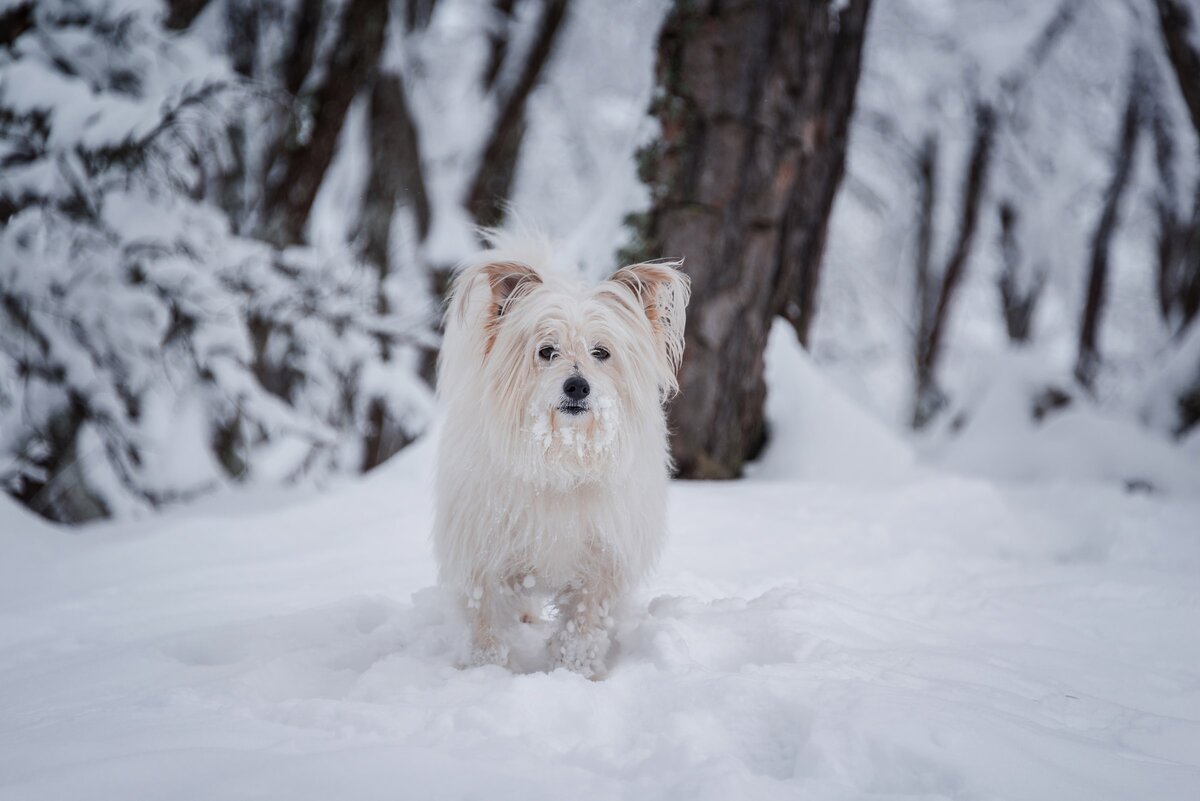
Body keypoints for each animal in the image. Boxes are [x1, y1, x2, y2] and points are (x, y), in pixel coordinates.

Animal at [436, 235, 691, 681]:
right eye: (546, 351)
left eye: (601, 352)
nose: (577, 386)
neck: (561, 460)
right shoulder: (482, 560)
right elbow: (485, 625)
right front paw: (488, 674)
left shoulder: (600, 566)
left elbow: (582, 630)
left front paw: (575, 674)